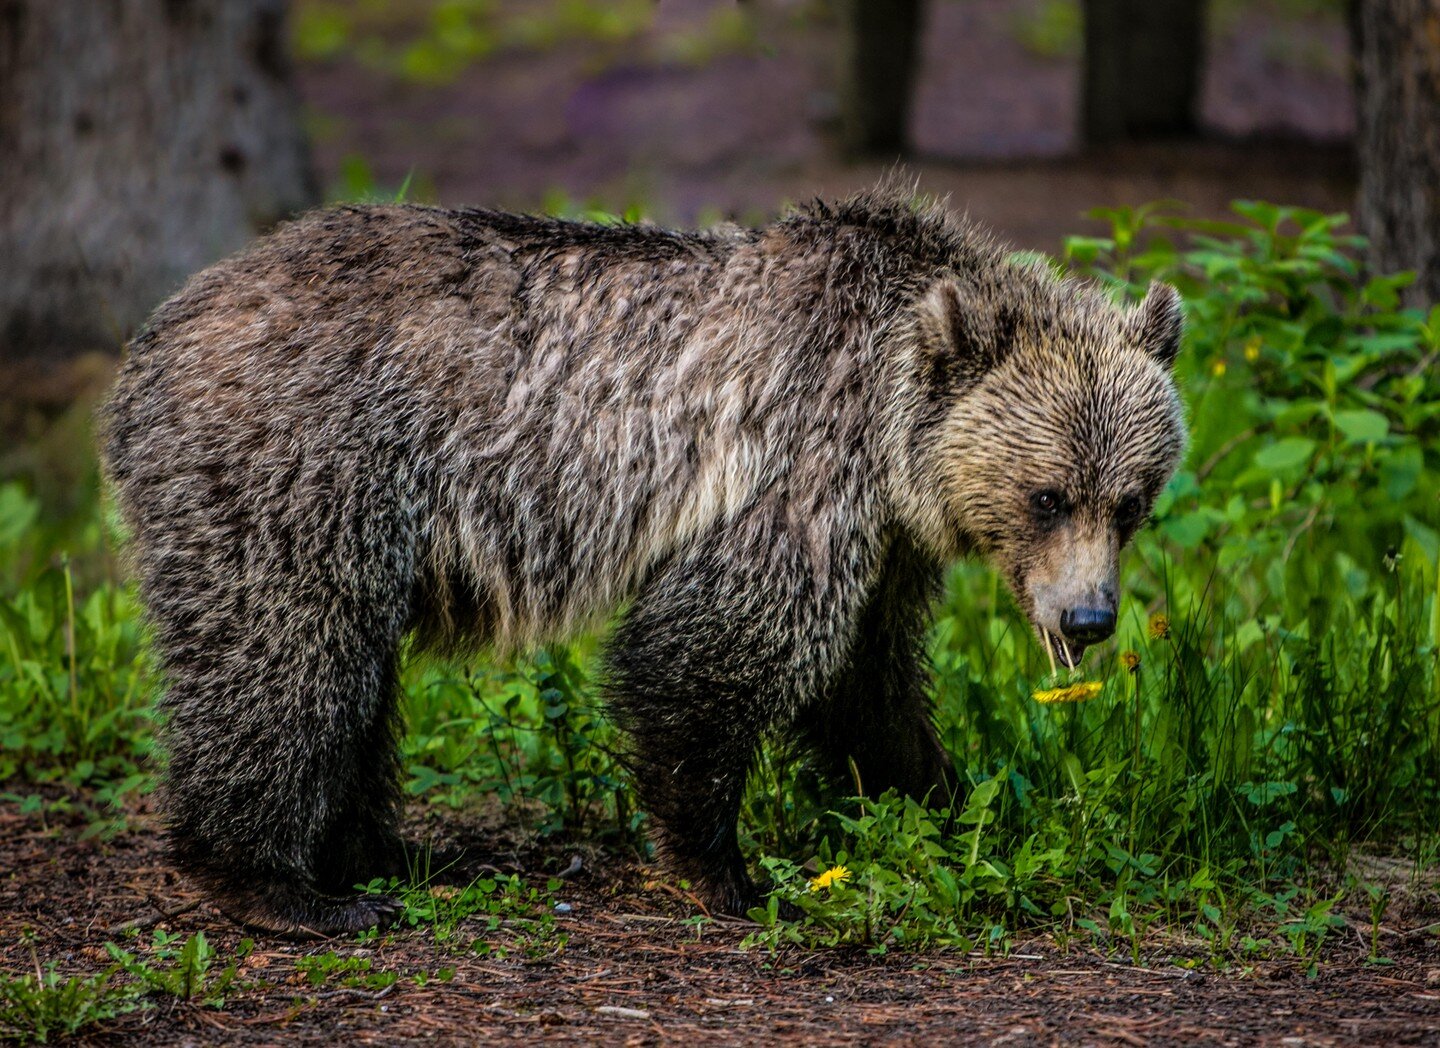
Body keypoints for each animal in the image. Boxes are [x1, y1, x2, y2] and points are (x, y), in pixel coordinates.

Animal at [98, 185, 1180, 932]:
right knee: (283, 657)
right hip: (301, 470)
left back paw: (373, 853)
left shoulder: (884, 546)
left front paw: (949, 797)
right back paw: (283, 883)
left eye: (1131, 501)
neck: (889, 423)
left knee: (350, 675)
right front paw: (726, 869)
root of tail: (156, 332)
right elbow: (713, 649)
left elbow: (867, 687)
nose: (1087, 617)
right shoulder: (797, 468)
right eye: (1048, 494)